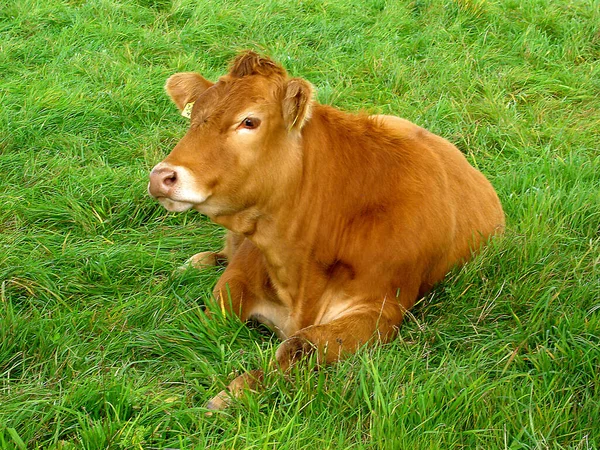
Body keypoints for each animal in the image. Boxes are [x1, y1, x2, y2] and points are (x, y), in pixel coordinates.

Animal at [148, 51, 504, 410]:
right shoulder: (242, 269)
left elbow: (299, 346)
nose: (161, 176)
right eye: (194, 116)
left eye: (249, 121)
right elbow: (212, 311)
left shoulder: (381, 310)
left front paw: (234, 393)